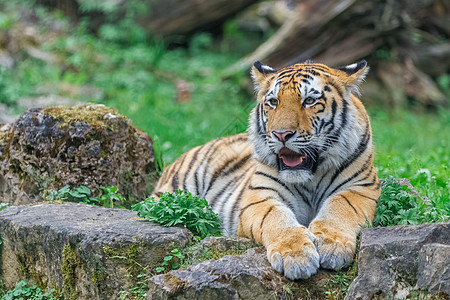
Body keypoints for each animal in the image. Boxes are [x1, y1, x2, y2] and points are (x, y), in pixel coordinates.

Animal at [151, 59, 380, 280]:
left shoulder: (360, 188)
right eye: (273, 102)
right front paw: (296, 256)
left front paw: (333, 247)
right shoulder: (261, 196)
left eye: (309, 101)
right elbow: (277, 218)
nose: (281, 134)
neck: (310, 177)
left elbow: (340, 208)